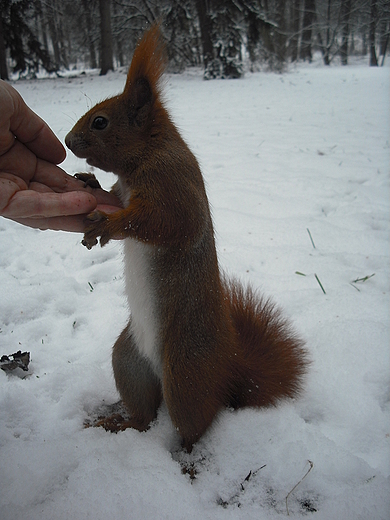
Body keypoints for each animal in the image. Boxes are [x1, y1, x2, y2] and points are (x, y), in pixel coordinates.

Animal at [65, 24, 308, 450]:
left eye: (100, 122)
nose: (66, 140)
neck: (147, 154)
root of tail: (228, 367)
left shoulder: (173, 188)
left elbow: (164, 223)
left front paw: (108, 225)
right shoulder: (125, 189)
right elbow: (113, 196)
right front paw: (91, 184)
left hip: (184, 375)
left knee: (193, 425)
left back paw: (188, 456)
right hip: (127, 360)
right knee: (144, 415)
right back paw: (118, 425)